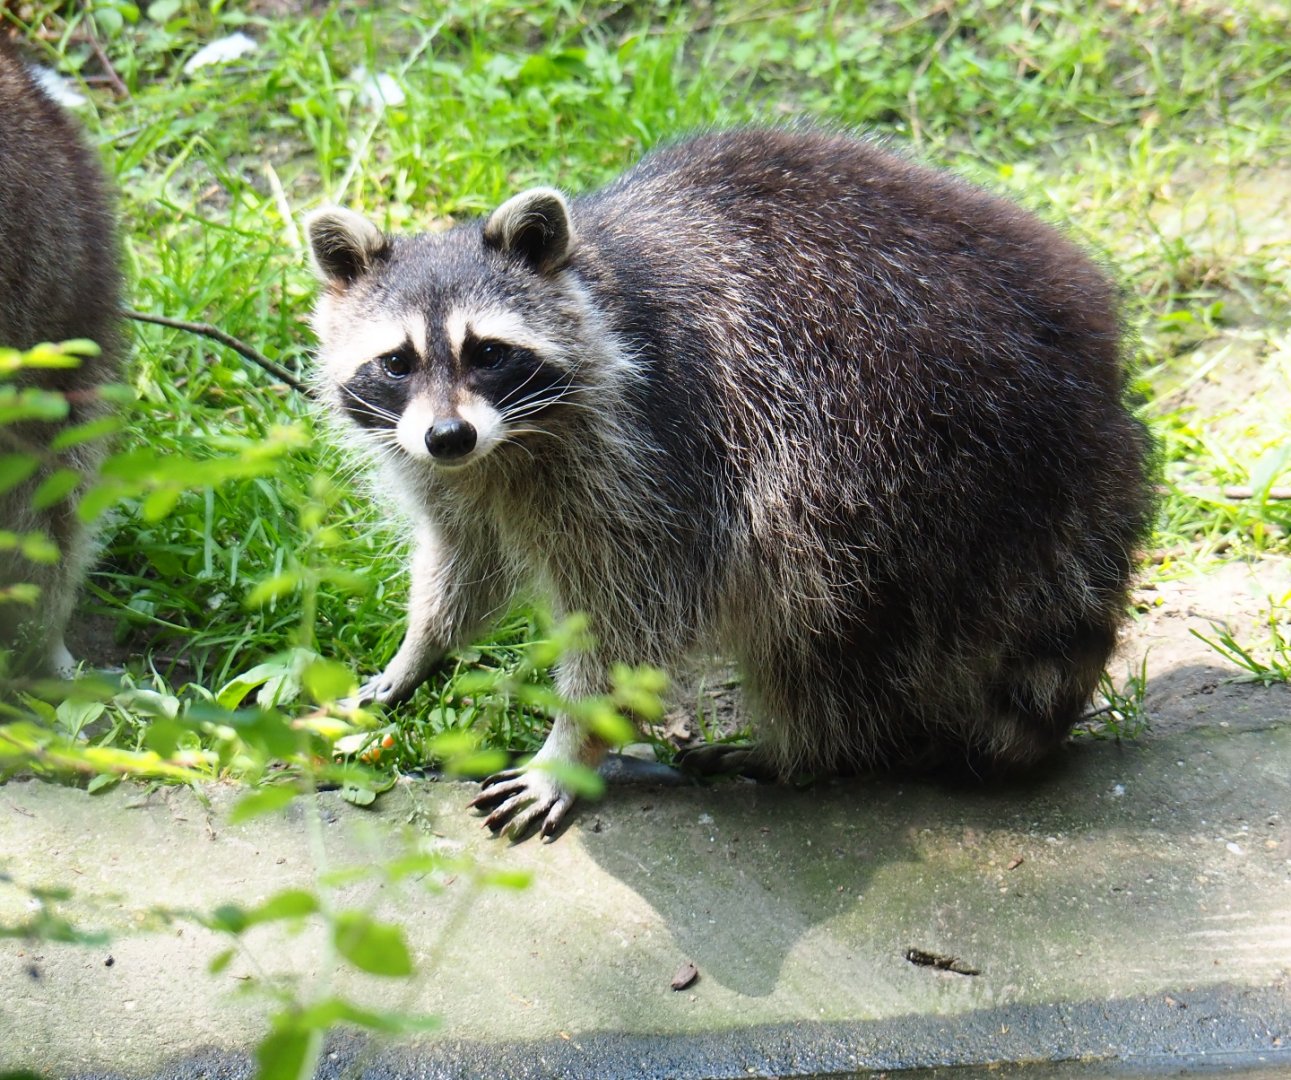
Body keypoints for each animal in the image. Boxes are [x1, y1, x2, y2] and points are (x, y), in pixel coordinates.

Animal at [306, 128, 1154, 840]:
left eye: (487, 352)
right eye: (397, 362)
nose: (448, 435)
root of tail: (1102, 407)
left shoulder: (658, 455)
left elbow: (631, 618)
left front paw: (570, 746)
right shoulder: (448, 475)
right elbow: (463, 563)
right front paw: (418, 649)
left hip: (932, 470)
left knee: (821, 611)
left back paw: (811, 747)